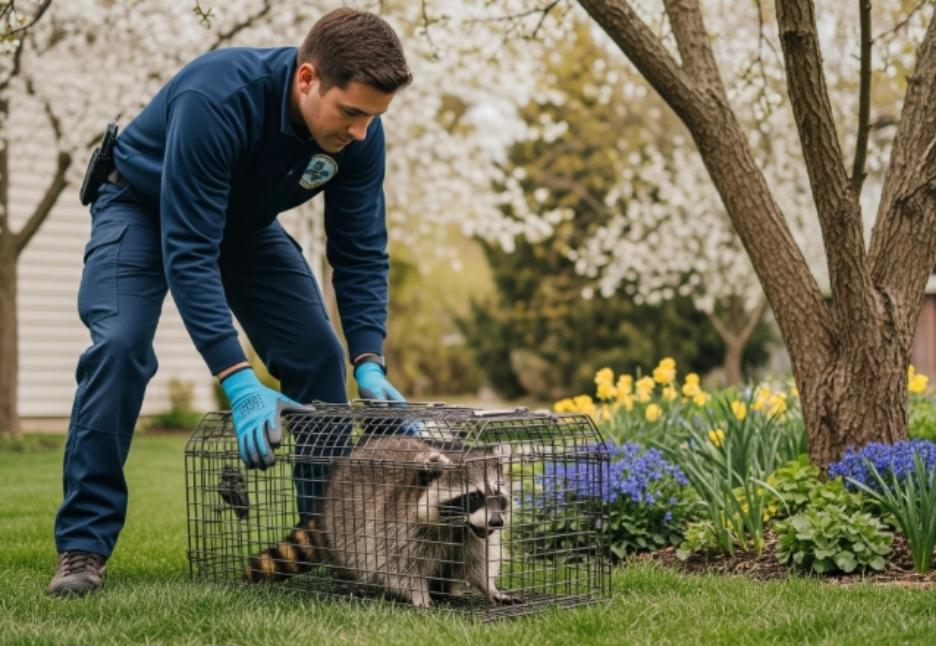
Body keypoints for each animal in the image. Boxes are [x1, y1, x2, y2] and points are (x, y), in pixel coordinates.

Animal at [246, 434, 513, 607]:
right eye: (475, 496)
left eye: (498, 494)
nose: (497, 523)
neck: (455, 525)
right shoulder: (398, 525)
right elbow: (400, 565)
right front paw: (418, 594)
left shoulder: (472, 536)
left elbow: (478, 561)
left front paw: (489, 587)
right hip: (345, 523)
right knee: (356, 554)